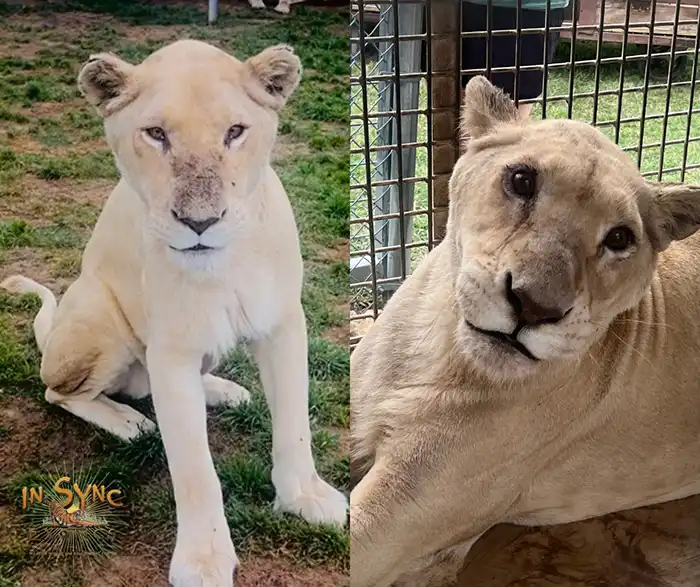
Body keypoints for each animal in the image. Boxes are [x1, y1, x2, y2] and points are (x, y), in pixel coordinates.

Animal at [1, 40, 347, 586]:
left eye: (235, 131)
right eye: (156, 134)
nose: (199, 222)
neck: (224, 264)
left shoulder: (283, 324)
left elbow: (295, 423)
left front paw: (305, 497)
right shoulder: (170, 352)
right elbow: (194, 468)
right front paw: (203, 560)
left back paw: (224, 390)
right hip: (98, 316)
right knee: (60, 392)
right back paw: (129, 422)